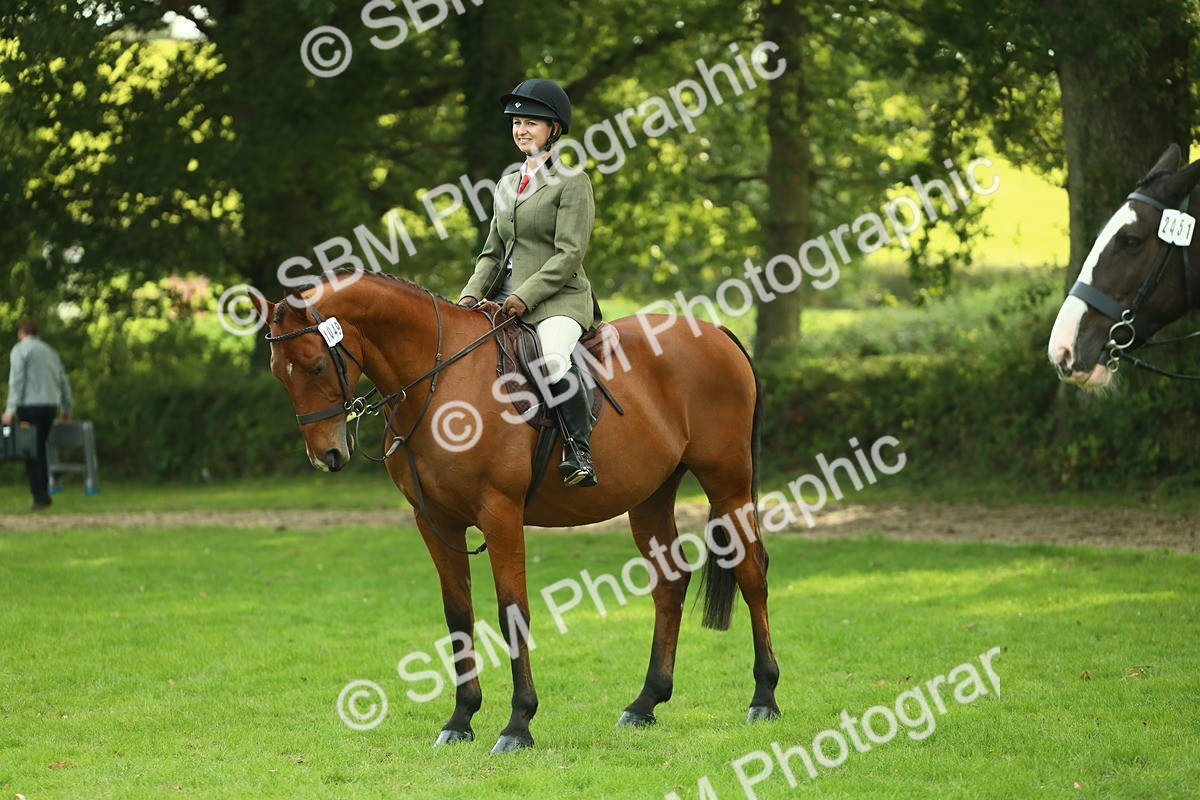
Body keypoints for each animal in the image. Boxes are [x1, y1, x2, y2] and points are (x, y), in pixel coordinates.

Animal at [252, 271, 780, 754]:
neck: (441, 379)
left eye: (316, 366)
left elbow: (512, 613)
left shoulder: (500, 514)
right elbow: (458, 613)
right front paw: (460, 719)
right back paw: (645, 703)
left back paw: (763, 697)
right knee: (670, 584)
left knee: (752, 574)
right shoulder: (435, 522)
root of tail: (717, 332)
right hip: (649, 498)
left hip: (727, 485)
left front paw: (517, 724)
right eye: (279, 372)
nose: (326, 456)